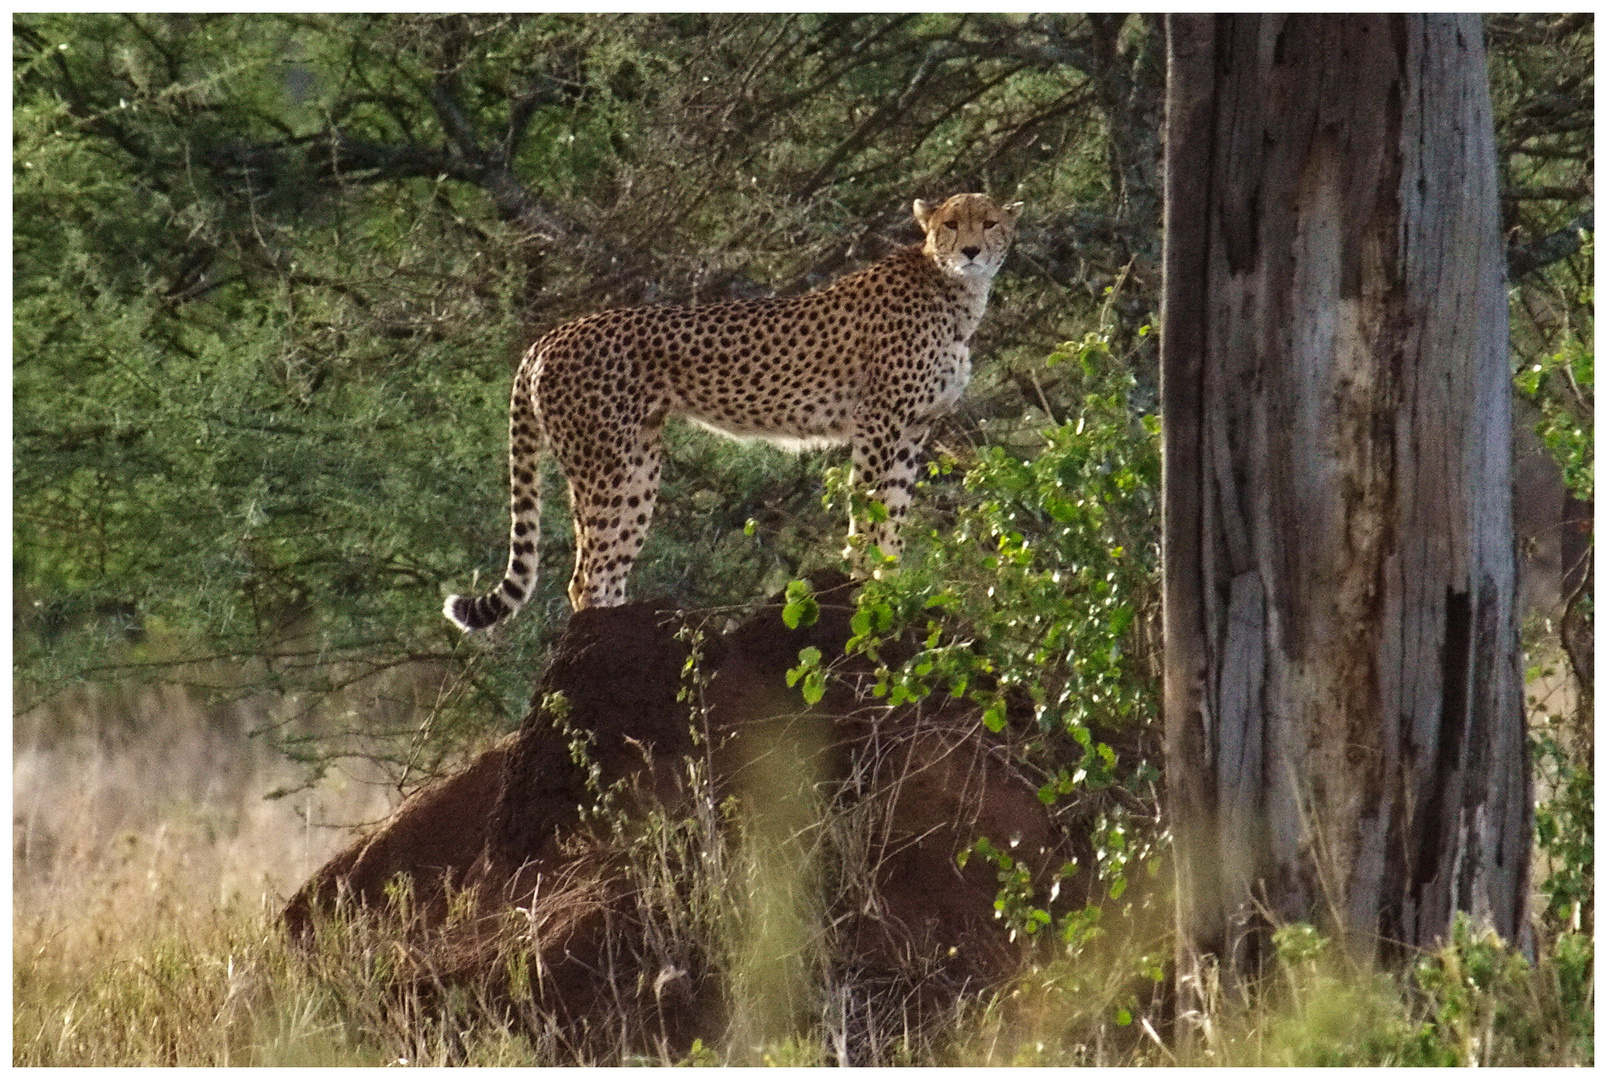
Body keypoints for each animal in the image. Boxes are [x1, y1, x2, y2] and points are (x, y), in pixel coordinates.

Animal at [443, 196, 1015, 633]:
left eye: (989, 222)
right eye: (950, 224)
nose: (970, 250)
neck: (954, 291)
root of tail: (550, 336)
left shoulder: (914, 429)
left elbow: (892, 515)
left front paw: (890, 585)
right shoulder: (878, 422)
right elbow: (867, 511)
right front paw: (860, 585)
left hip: (639, 465)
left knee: (607, 569)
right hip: (604, 466)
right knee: (585, 575)